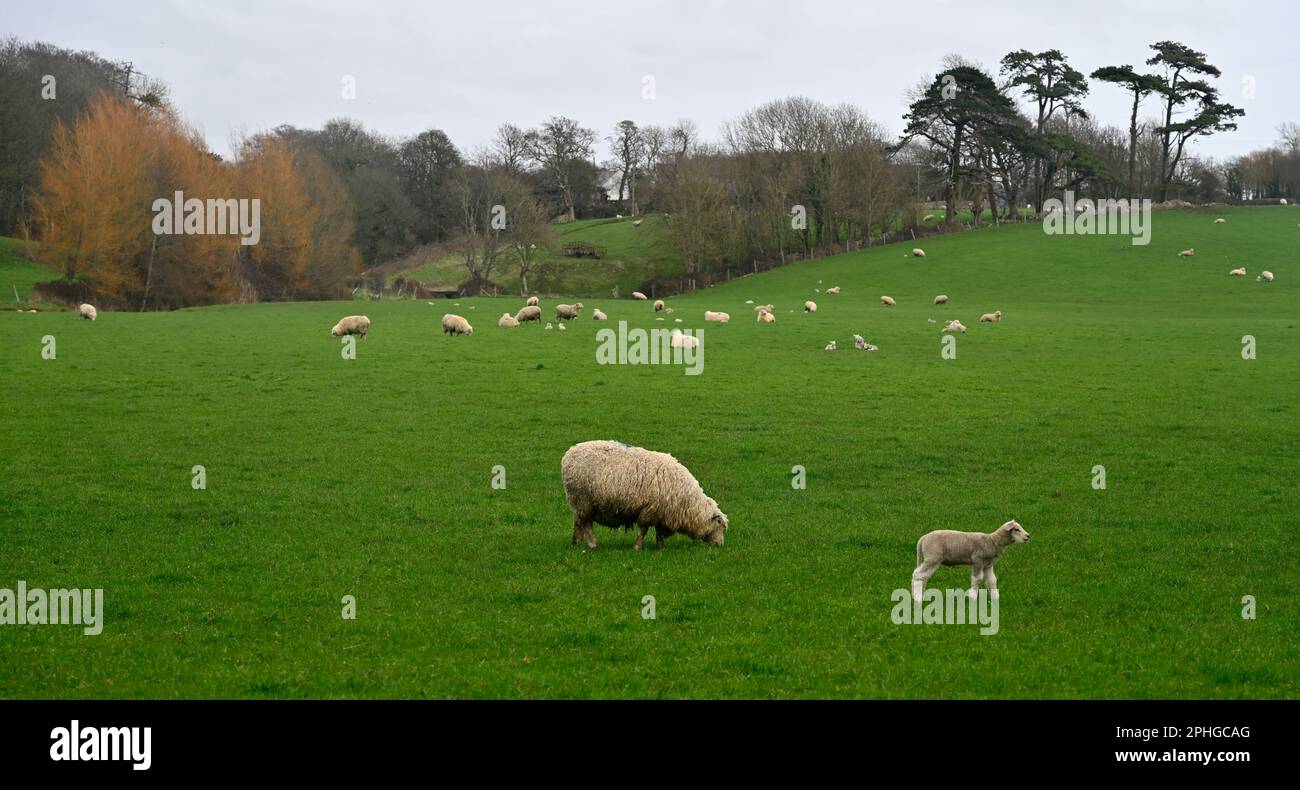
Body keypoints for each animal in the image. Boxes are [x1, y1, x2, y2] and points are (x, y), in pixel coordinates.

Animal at [561, 439, 733, 548]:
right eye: (719, 524)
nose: (719, 545)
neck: (688, 505)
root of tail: (569, 455)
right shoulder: (651, 510)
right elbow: (644, 530)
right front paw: (637, 546)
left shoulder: (663, 514)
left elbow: (659, 533)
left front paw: (661, 547)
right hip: (584, 500)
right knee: (586, 523)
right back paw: (592, 544)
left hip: (579, 502)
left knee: (578, 521)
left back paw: (576, 542)